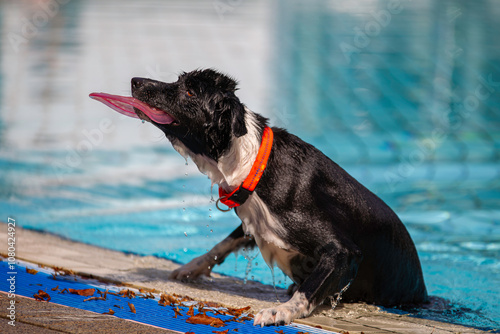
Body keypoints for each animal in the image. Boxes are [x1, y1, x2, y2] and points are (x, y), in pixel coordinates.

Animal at [89, 68, 426, 326]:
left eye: (190, 92)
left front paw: (282, 311)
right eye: (179, 81)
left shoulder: (344, 251)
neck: (253, 164)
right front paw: (192, 267)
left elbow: (310, 289)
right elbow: (224, 242)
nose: (135, 80)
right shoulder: (253, 219)